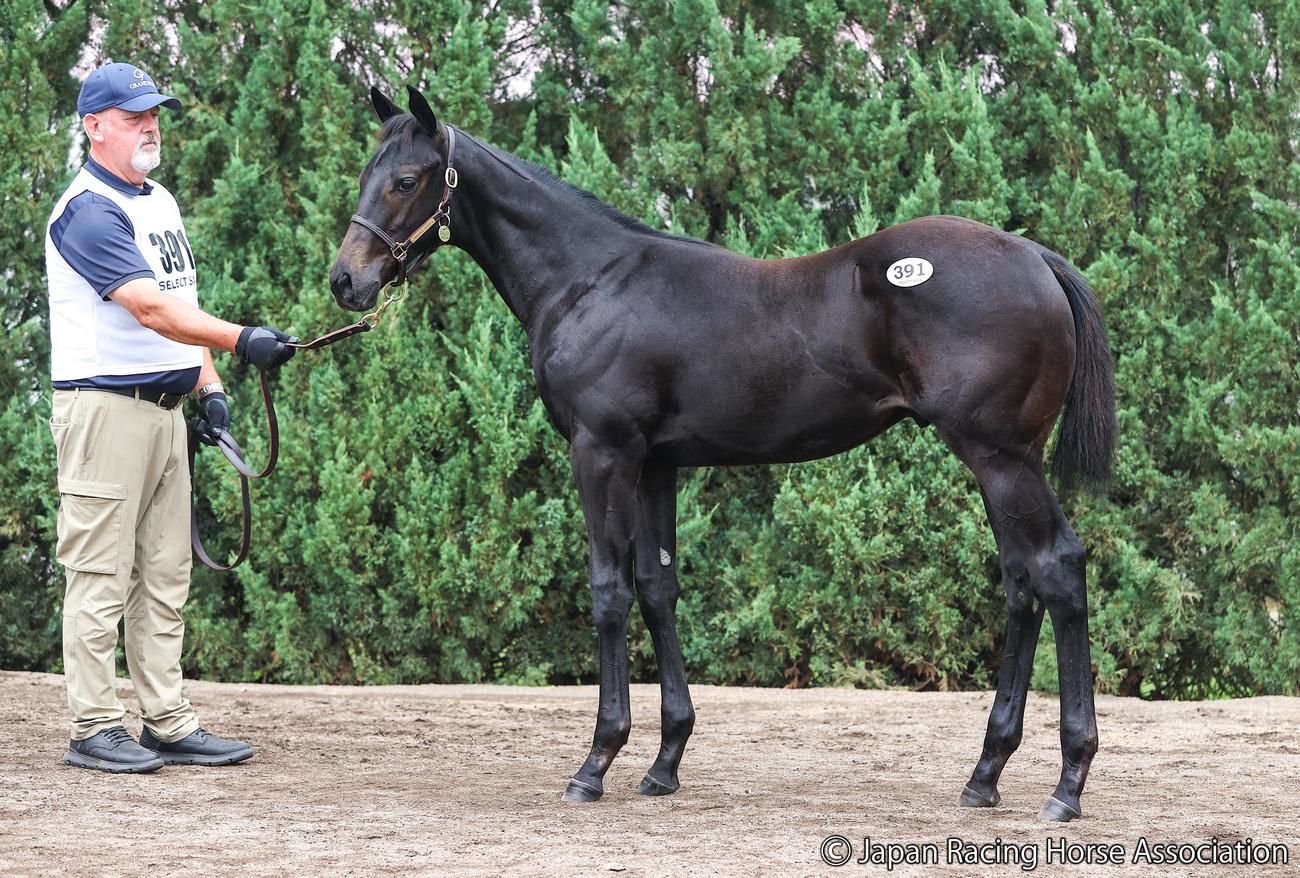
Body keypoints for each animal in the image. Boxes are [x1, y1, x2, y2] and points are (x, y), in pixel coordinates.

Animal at [329, 85, 1116, 823]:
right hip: (1000, 462)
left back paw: (1068, 783)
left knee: (1057, 568)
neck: (589, 280)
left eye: (406, 180)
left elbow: (610, 591)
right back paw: (985, 774)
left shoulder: (603, 453)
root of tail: (1034, 256)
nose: (346, 281)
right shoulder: (655, 464)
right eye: (367, 174)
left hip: (1001, 456)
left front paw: (596, 763)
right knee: (1021, 584)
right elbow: (658, 588)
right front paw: (664, 762)